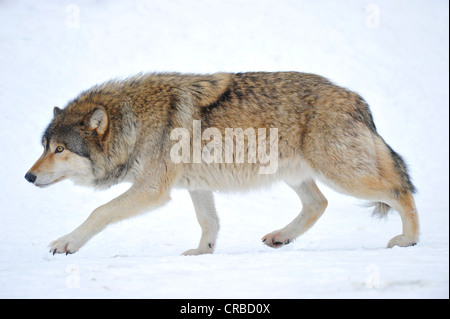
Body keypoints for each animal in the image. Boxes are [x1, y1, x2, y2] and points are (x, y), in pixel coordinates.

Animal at [24, 72, 418, 255]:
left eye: (60, 150)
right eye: (45, 146)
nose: (27, 176)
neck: (134, 122)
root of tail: (357, 99)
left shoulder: (152, 190)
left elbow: (99, 212)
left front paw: (66, 243)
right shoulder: (197, 186)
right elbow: (208, 223)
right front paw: (202, 253)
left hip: (341, 175)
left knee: (400, 190)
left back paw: (409, 240)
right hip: (298, 174)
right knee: (318, 204)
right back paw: (282, 236)